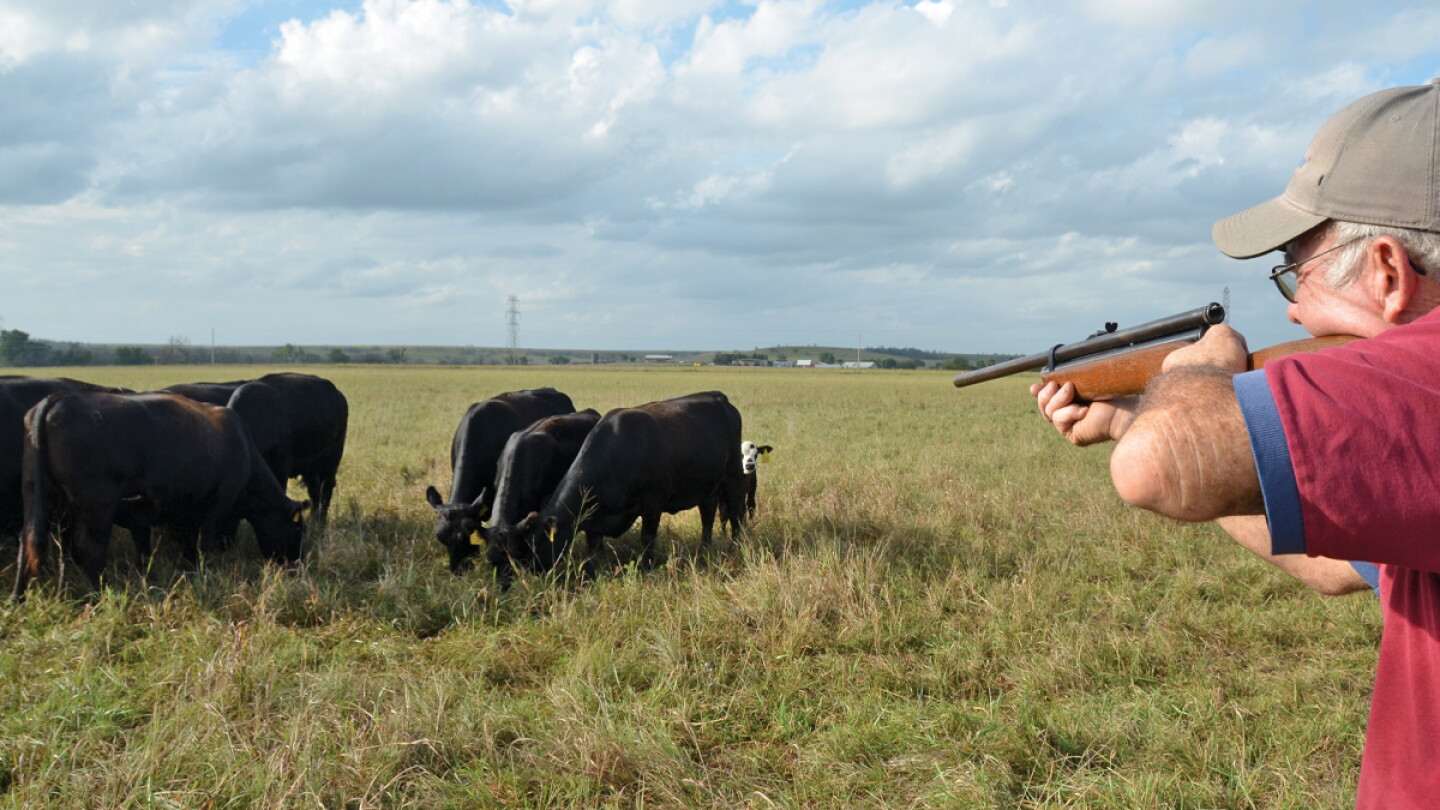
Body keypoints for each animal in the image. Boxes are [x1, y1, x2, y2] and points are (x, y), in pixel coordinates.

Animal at [14, 391, 306, 601]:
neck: (242, 445)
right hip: (98, 507)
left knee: (28, 543)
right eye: (297, 528)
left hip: (35, 496)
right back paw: (102, 594)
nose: (295, 564)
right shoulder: (220, 502)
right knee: (90, 550)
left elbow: (165, 546)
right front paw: (204, 573)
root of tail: (58, 399)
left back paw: (18, 598)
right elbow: (204, 543)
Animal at [507, 391, 746, 578]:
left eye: (540, 543)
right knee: (707, 513)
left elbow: (647, 537)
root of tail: (718, 397)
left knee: (736, 511)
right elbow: (592, 545)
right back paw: (704, 547)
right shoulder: (595, 515)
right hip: (708, 484)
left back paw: (736, 545)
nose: (531, 571)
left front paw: (647, 567)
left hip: (733, 474)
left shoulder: (652, 502)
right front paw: (589, 574)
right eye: (526, 543)